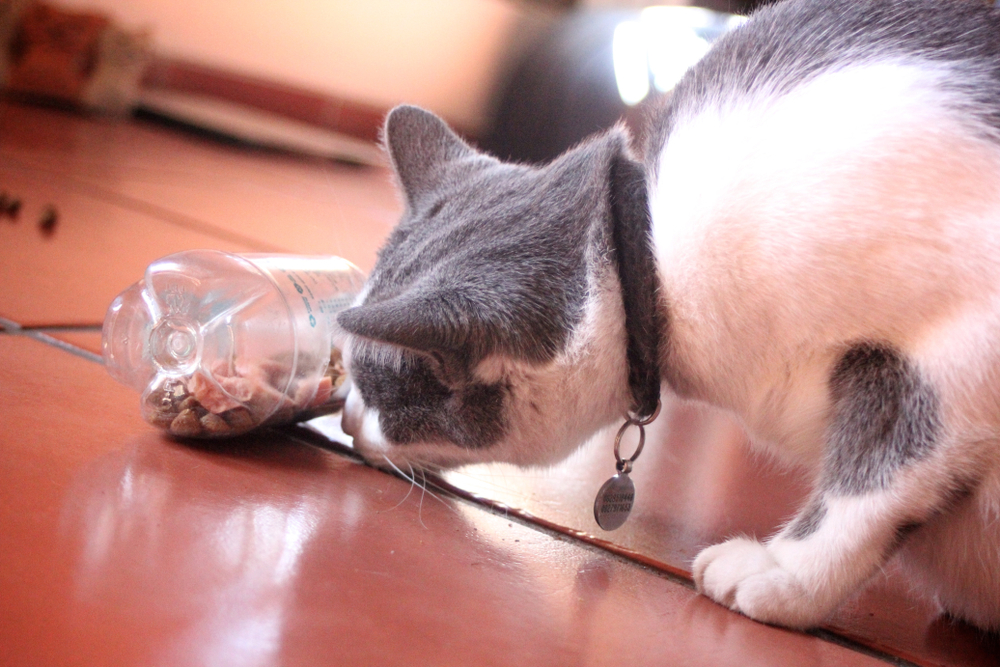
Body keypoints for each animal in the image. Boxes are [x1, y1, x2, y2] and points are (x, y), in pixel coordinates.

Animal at [338, 0, 1000, 636]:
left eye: (380, 392)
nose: (344, 418)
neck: (655, 257)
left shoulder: (956, 349)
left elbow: (874, 481)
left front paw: (785, 575)